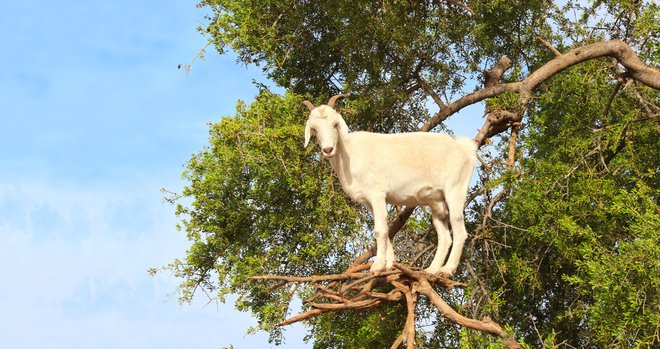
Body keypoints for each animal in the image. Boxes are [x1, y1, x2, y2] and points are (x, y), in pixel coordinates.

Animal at [302, 94, 476, 276]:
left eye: (335, 124)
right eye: (314, 129)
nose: (328, 150)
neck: (350, 153)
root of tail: (464, 149)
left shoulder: (377, 193)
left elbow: (380, 230)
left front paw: (377, 266)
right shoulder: (369, 201)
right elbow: (385, 230)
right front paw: (389, 265)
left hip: (455, 190)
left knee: (459, 230)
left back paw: (447, 270)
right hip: (436, 201)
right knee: (445, 236)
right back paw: (431, 270)